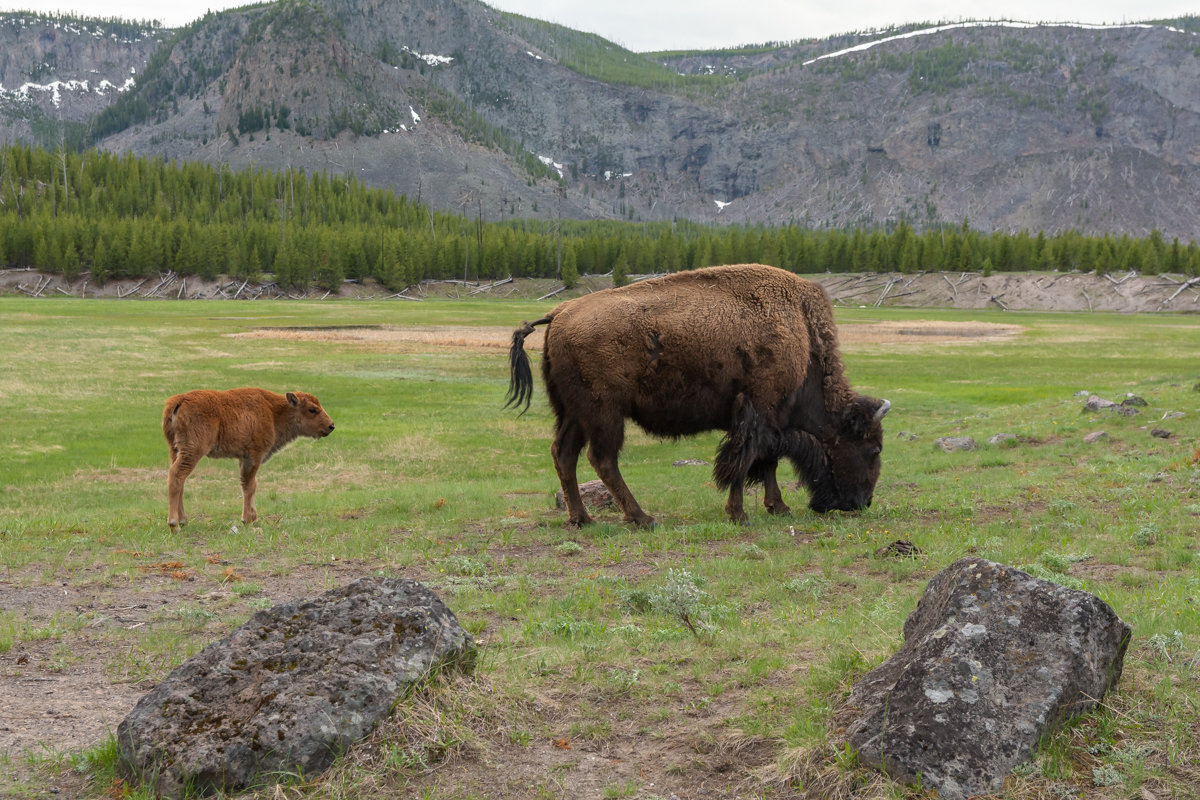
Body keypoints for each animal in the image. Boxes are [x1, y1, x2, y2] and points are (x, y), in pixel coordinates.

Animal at [162, 388, 336, 532]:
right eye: (312, 409)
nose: (331, 426)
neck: (273, 412)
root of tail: (179, 400)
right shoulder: (253, 457)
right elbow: (249, 486)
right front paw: (247, 520)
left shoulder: (244, 458)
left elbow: (252, 485)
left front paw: (254, 518)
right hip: (193, 451)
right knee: (176, 476)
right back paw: (174, 524)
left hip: (175, 450)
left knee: (179, 481)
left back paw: (183, 521)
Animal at [506, 262, 892, 527]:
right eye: (873, 449)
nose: (863, 502)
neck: (801, 335)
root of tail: (559, 312)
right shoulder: (758, 414)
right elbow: (743, 464)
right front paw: (739, 514)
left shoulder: (770, 421)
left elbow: (766, 463)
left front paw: (778, 508)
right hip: (605, 414)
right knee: (602, 459)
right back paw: (643, 518)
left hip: (573, 413)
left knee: (564, 454)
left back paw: (582, 518)